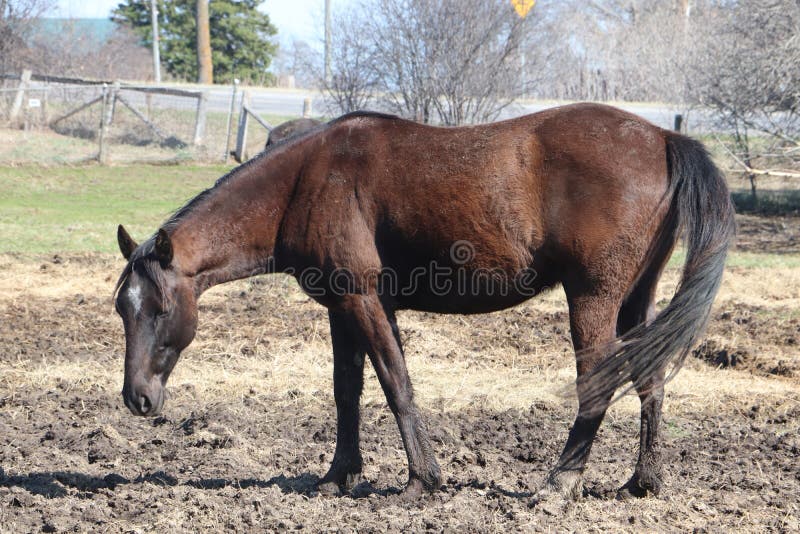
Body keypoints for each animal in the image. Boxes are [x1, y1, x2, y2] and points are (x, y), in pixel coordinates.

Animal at [115, 103, 736, 502]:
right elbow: (348, 392)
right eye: (124, 308)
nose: (137, 398)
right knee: (650, 380)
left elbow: (396, 384)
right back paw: (642, 483)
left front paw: (421, 482)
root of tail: (662, 138)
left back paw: (560, 484)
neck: (305, 181)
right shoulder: (345, 309)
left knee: (598, 382)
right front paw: (338, 477)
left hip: (592, 299)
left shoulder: (363, 301)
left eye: (161, 309)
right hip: (636, 299)